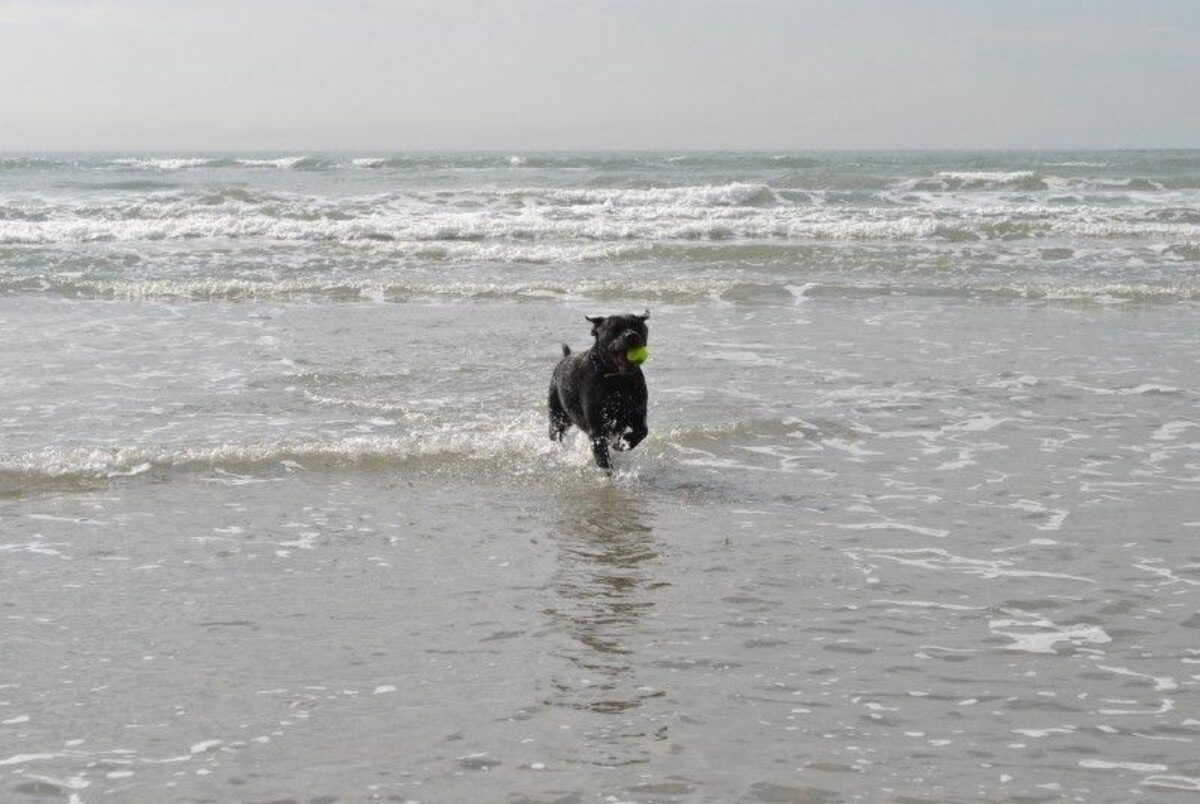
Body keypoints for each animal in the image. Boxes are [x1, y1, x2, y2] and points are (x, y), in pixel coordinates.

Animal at [549, 312, 652, 470]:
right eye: (614, 328)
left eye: (637, 325)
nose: (632, 335)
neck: (618, 380)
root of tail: (565, 357)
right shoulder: (597, 430)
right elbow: (604, 461)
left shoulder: (637, 413)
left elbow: (642, 431)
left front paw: (623, 443)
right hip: (557, 417)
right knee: (555, 432)